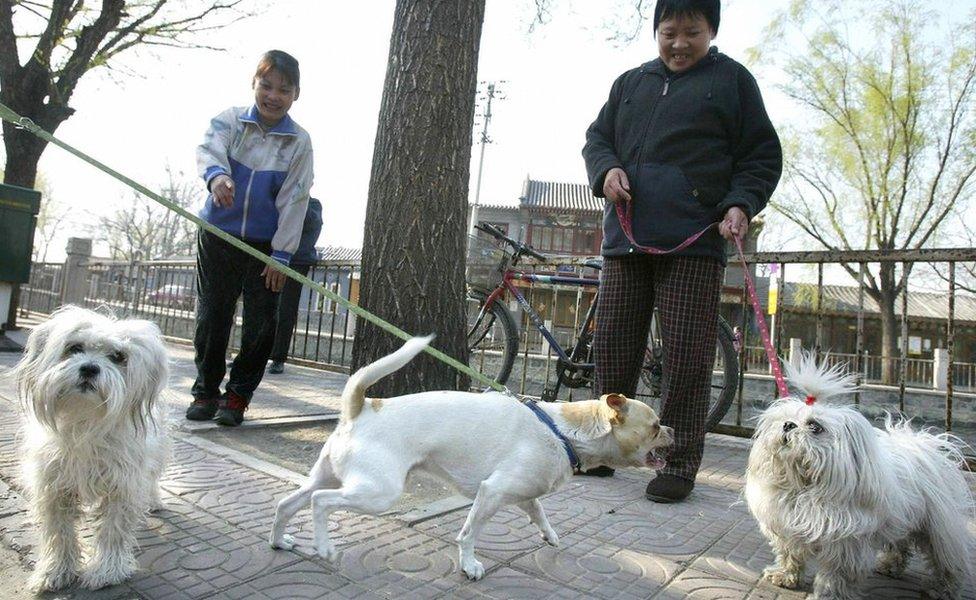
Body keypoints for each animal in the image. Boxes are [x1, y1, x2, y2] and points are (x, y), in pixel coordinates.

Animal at [270, 336, 676, 580]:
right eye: (655, 426)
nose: (674, 431)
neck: (563, 431)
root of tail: (363, 406)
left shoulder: (522, 492)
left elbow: (539, 511)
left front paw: (549, 535)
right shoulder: (491, 493)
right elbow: (469, 534)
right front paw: (469, 565)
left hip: (329, 476)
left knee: (288, 503)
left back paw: (280, 541)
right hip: (376, 492)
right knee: (321, 502)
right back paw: (324, 546)